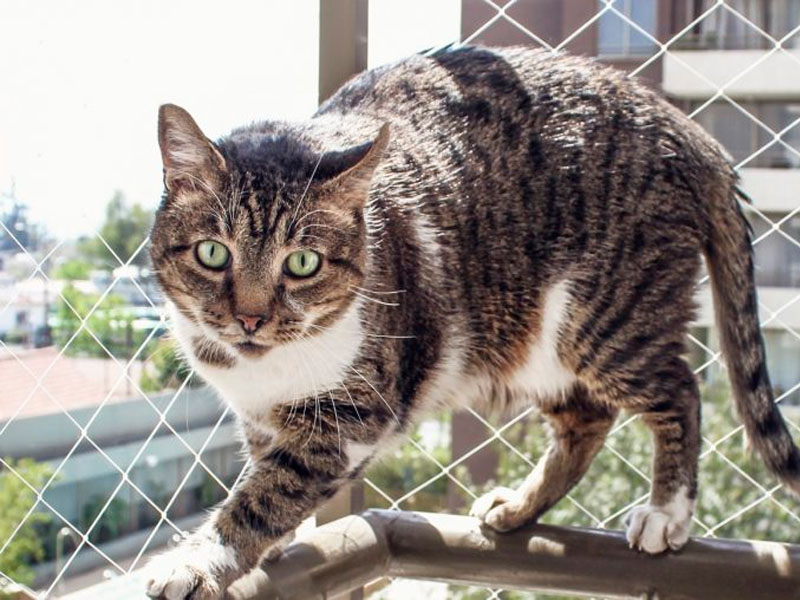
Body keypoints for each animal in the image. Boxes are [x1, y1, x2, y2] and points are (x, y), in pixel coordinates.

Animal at [144, 47, 800, 600]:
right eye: (213, 253)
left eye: (302, 263)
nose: (251, 317)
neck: (266, 369)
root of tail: (680, 125)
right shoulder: (261, 416)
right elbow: (267, 472)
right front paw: (269, 547)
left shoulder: (352, 415)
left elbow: (267, 493)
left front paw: (200, 559)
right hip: (533, 343)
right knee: (587, 420)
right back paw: (519, 509)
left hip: (608, 320)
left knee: (680, 392)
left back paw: (666, 512)